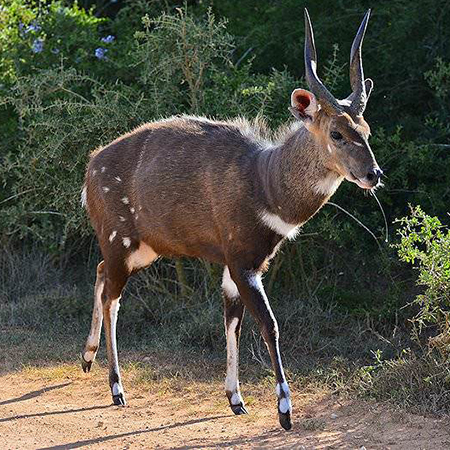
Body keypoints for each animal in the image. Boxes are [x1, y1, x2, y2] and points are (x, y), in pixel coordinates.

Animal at [80, 7, 380, 428]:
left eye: (366, 129)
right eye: (336, 133)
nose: (374, 174)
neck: (264, 181)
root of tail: (91, 167)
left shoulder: (238, 265)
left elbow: (232, 321)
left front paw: (236, 398)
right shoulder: (243, 262)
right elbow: (269, 324)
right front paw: (284, 410)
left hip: (142, 248)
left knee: (99, 271)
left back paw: (87, 358)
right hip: (120, 241)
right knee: (112, 297)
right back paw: (116, 387)